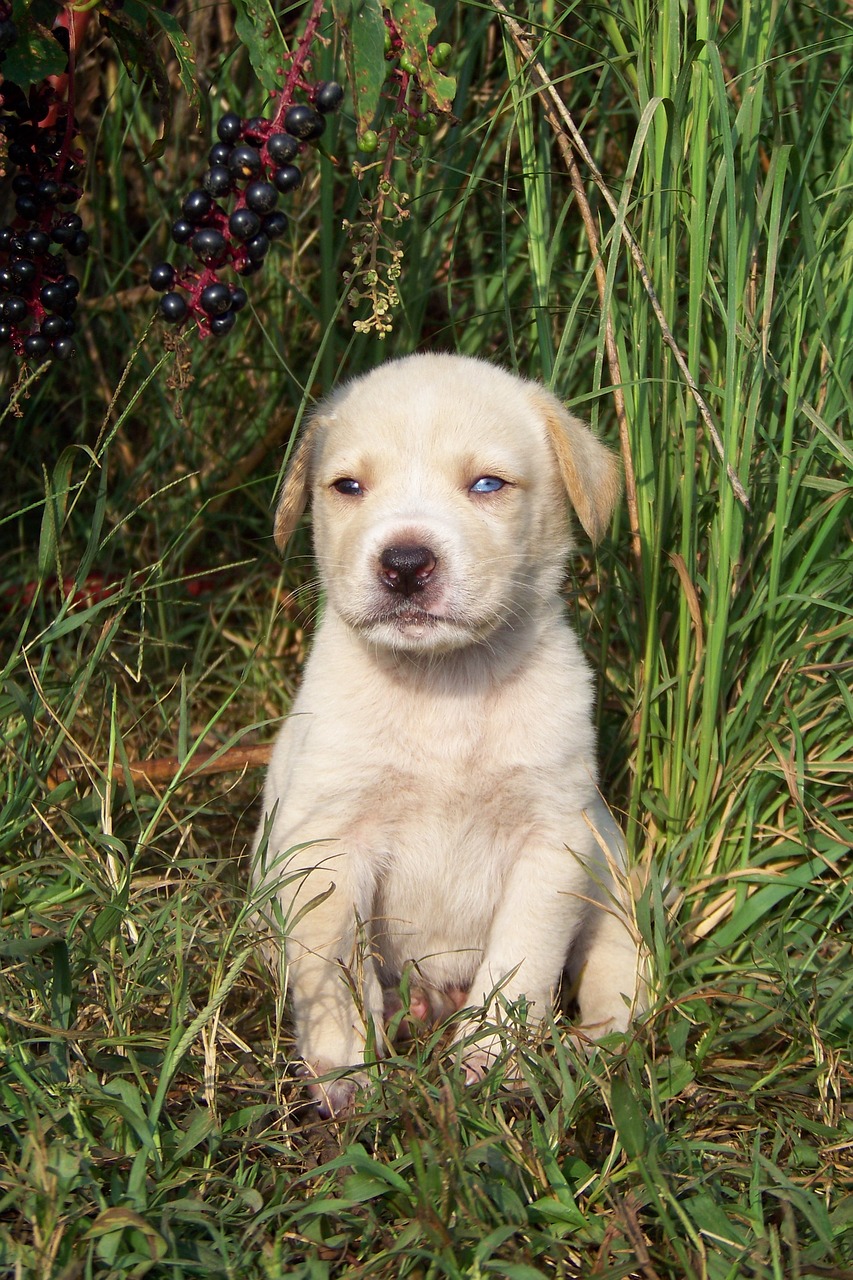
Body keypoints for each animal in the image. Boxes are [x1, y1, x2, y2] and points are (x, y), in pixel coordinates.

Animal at [249, 355, 640, 1116]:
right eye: (348, 487)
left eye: (487, 484)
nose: (404, 565)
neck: (444, 687)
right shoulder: (327, 844)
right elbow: (333, 973)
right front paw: (347, 1072)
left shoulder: (552, 842)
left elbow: (519, 965)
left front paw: (491, 1061)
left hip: (615, 876)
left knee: (621, 980)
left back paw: (590, 1051)